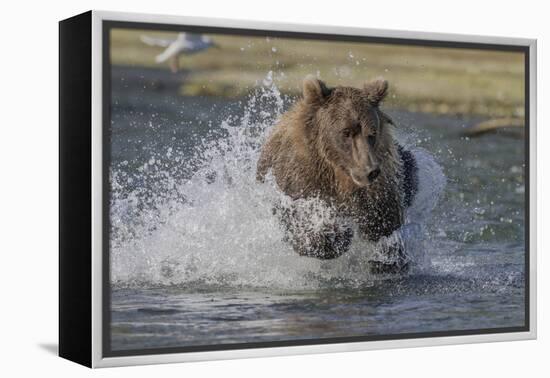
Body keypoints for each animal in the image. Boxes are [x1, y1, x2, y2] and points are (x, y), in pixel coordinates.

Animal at [258, 77, 418, 274]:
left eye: (372, 133)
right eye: (346, 132)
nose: (370, 170)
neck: (338, 175)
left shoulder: (380, 186)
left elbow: (385, 222)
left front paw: (386, 259)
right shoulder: (300, 178)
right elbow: (298, 217)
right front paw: (336, 235)